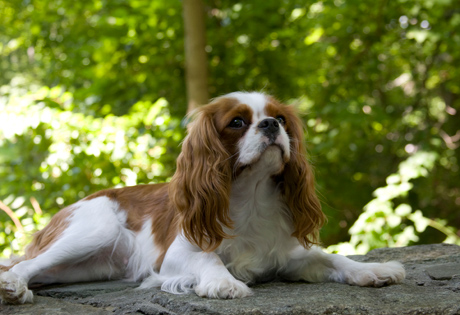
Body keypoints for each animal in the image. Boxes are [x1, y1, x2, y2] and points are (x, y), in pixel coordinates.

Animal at [0, 92, 404, 304]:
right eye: (237, 122)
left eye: (281, 119)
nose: (270, 125)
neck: (251, 195)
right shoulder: (176, 255)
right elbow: (209, 259)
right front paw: (224, 282)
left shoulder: (289, 255)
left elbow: (333, 257)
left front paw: (374, 270)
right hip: (94, 230)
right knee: (24, 264)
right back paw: (15, 287)